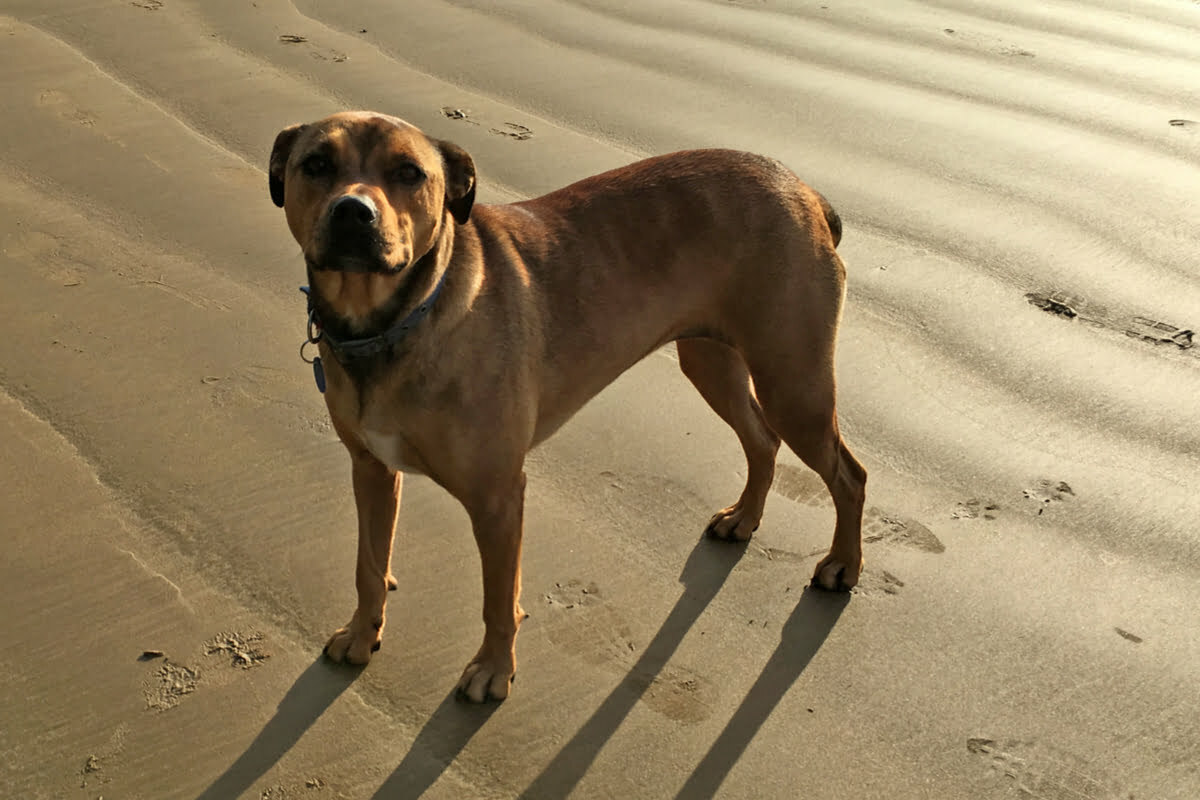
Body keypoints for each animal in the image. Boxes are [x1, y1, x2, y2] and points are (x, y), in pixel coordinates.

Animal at [270, 110, 864, 700]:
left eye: (409, 173)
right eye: (316, 164)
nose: (353, 212)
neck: (393, 322)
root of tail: (804, 190)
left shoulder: (497, 498)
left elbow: (497, 600)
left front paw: (493, 669)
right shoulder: (370, 467)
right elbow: (368, 564)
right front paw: (362, 632)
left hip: (794, 382)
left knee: (848, 474)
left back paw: (842, 565)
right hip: (711, 359)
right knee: (762, 438)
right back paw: (744, 518)